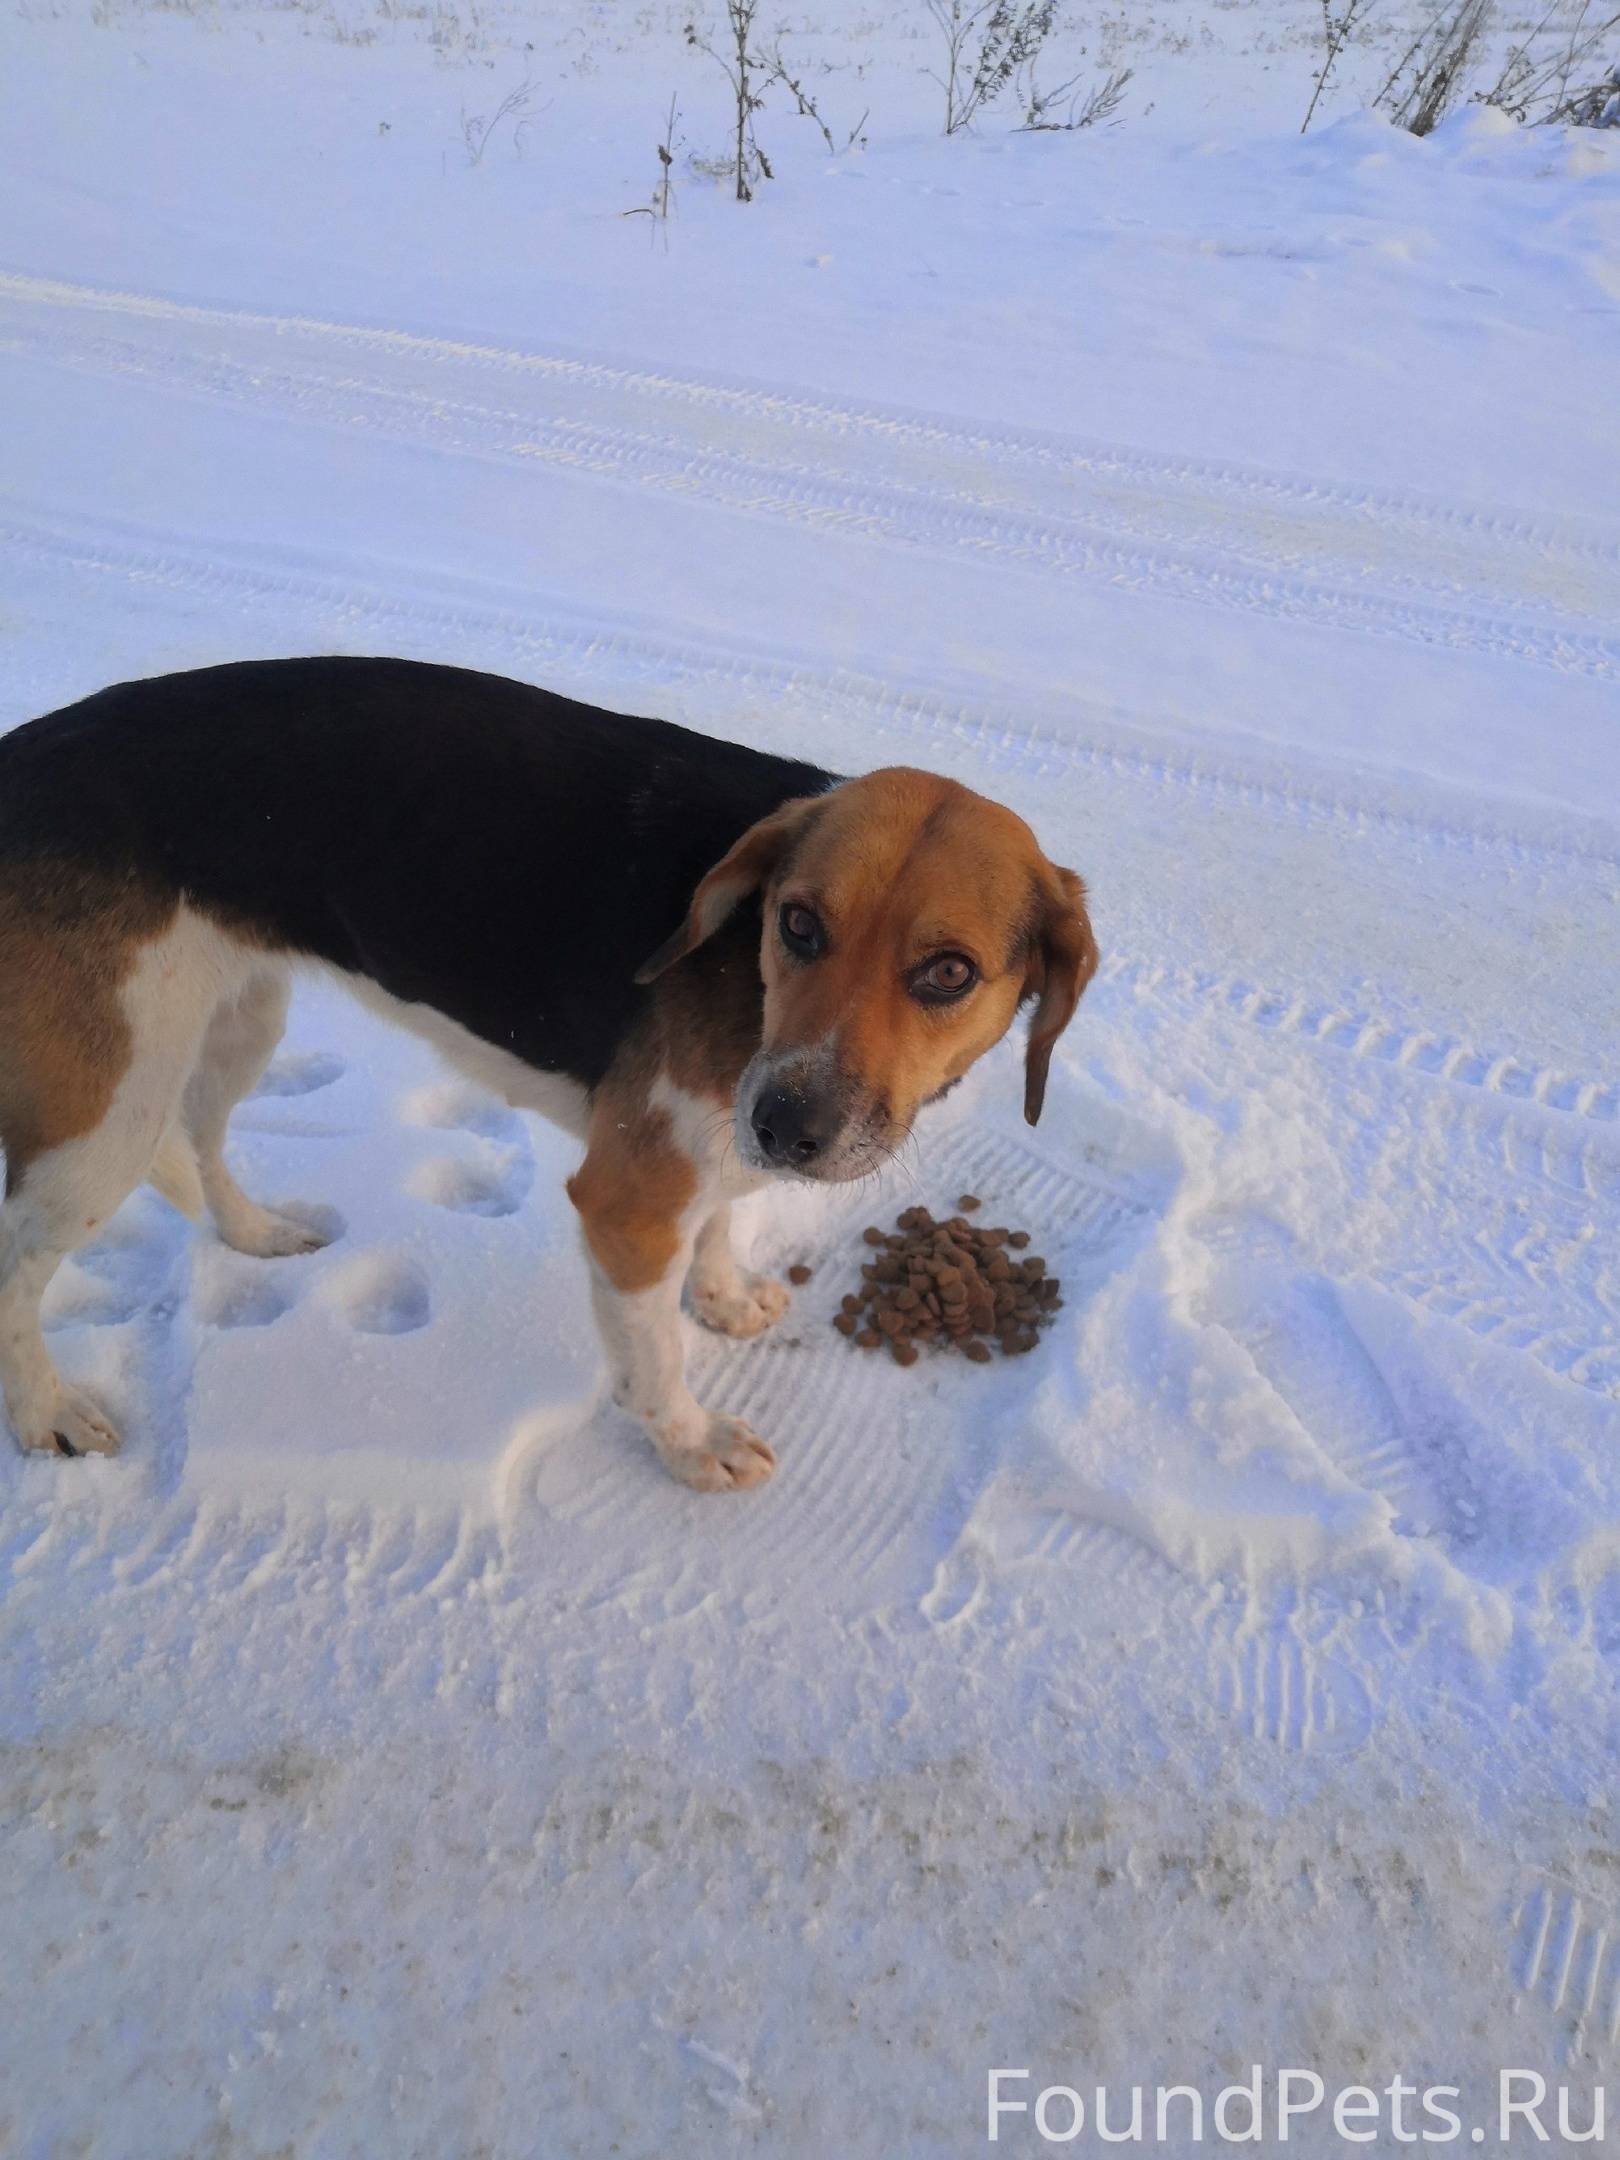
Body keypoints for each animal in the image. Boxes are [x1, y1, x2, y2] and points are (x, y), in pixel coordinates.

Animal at [0, 656, 1097, 1494]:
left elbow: (721, 1224)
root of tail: (18, 759)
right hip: (104, 1113)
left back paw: (259, 1234)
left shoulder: (718, 1144)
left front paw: (723, 1295)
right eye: (797, 923)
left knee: (200, 1141)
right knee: (20, 1262)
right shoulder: (627, 1203)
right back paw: (47, 1413)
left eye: (948, 973)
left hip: (226, 1026)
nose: (787, 1128)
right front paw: (690, 1443)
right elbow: (653, 1357)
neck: (744, 983)